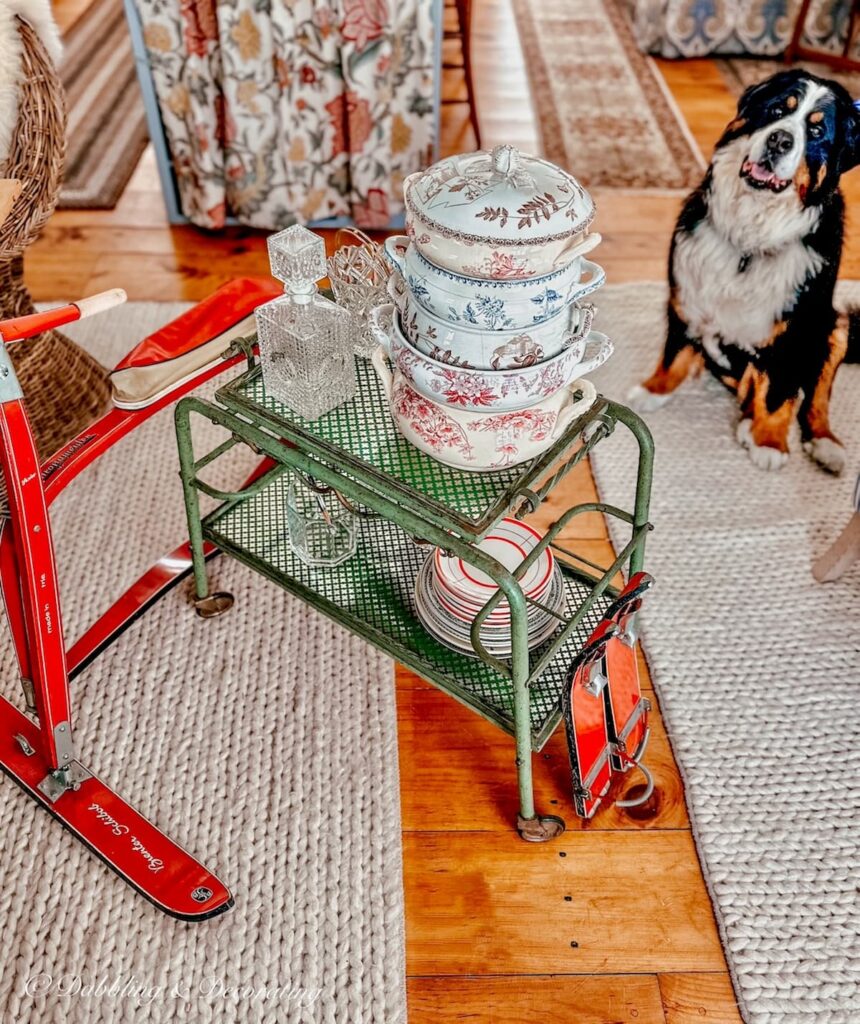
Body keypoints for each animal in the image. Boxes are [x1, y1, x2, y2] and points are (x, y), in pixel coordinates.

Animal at [630, 68, 860, 475]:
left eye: (817, 131)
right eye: (777, 110)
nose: (780, 140)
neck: (749, 242)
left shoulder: (794, 330)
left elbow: (781, 393)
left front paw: (769, 442)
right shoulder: (685, 299)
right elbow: (671, 356)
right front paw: (653, 390)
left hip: (836, 326)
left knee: (814, 397)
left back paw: (822, 443)